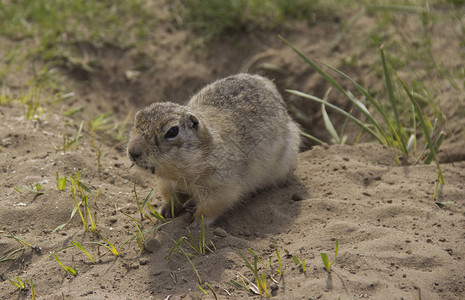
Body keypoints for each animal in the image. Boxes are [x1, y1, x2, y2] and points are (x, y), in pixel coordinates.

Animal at [127, 74, 300, 226]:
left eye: (172, 131)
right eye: (137, 117)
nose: (133, 152)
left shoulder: (220, 185)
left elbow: (211, 207)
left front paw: (196, 223)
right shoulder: (167, 182)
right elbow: (170, 196)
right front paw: (166, 211)